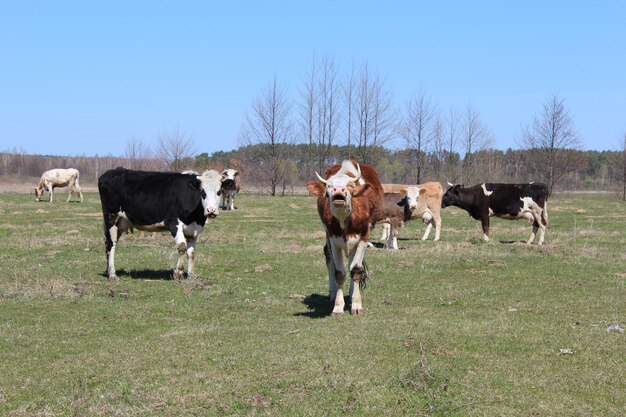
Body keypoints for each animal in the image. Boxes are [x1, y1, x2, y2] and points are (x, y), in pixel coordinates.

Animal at [304, 160, 382, 316]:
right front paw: (338, 306)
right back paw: (333, 294)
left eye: (350, 185)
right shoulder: (333, 240)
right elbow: (339, 273)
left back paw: (352, 294)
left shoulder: (363, 238)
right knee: (329, 257)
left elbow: (356, 269)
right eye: (329, 185)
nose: (338, 190)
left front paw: (356, 304)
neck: (344, 220)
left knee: (353, 264)